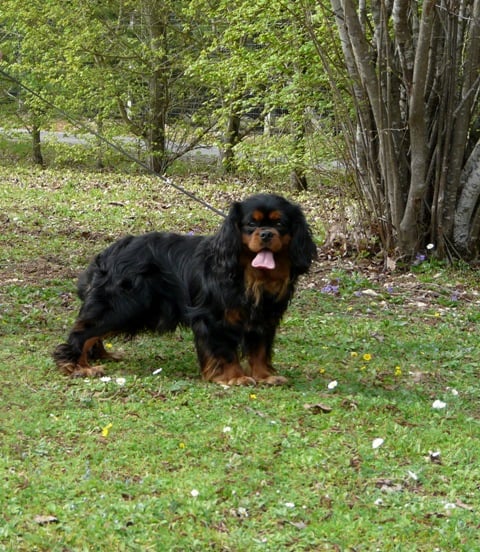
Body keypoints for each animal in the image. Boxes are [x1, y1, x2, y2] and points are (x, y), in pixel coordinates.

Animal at [52, 194, 316, 384]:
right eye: (251, 223)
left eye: (280, 223)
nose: (266, 234)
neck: (246, 272)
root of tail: (108, 252)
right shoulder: (213, 318)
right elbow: (225, 350)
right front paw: (235, 377)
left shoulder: (263, 319)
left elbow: (260, 349)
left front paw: (264, 376)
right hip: (122, 306)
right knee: (82, 333)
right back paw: (77, 367)